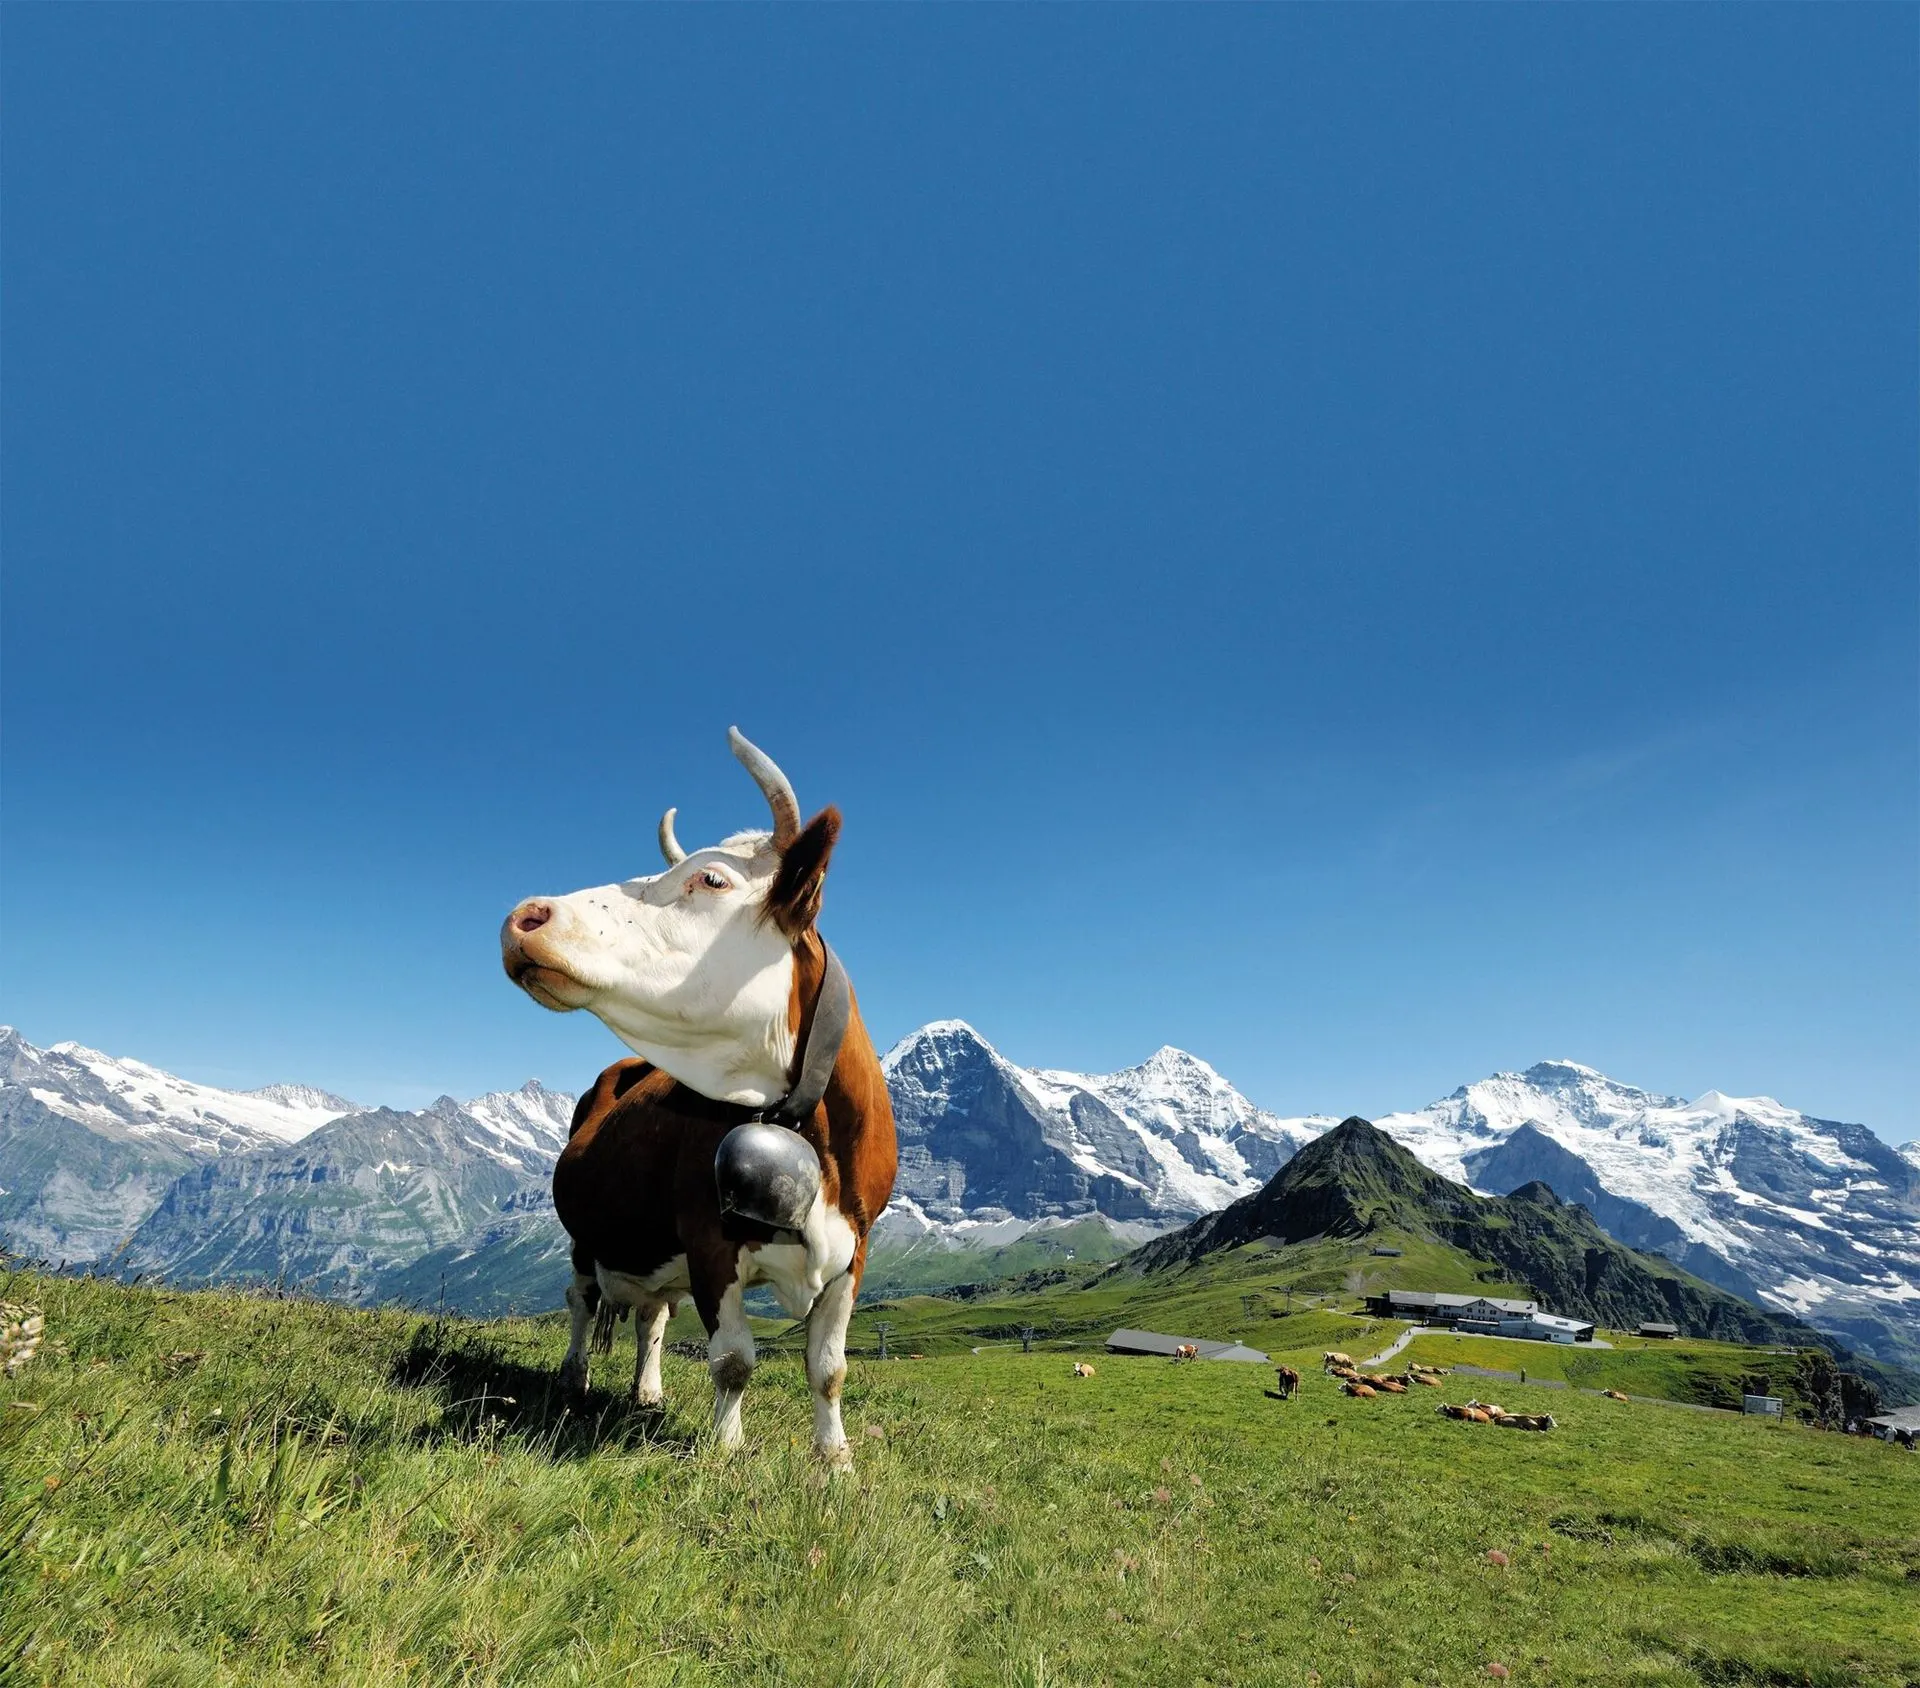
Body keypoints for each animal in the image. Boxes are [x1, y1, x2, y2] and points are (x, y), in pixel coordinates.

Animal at [501, 728, 898, 1468]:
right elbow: (734, 1359)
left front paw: (835, 1462)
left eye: (711, 880)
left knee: (652, 1314)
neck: (816, 1137)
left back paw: (647, 1391)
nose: (524, 917)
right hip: (583, 1233)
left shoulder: (856, 1248)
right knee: (581, 1297)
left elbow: (829, 1368)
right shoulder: (710, 1243)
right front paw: (725, 1451)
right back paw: (574, 1377)